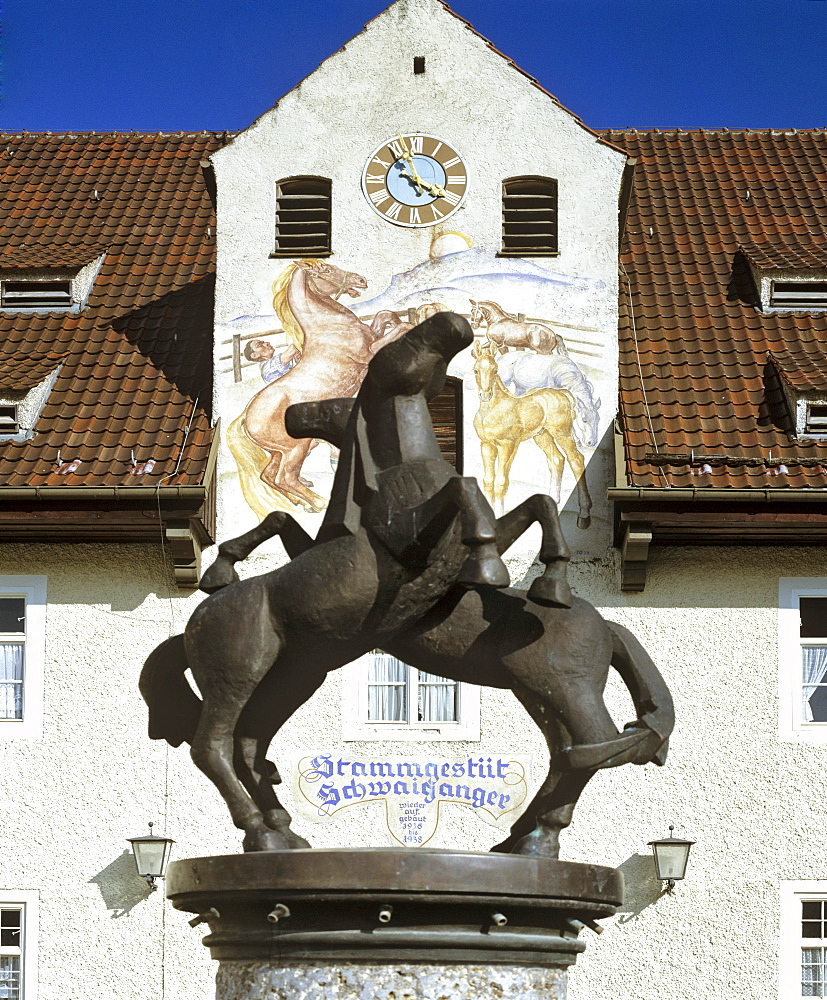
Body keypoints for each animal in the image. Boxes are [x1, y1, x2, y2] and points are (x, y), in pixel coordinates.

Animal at [468, 340, 592, 528]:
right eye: (476, 370)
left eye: (495, 370)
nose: (486, 395)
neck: (494, 410)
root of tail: (563, 393)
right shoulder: (486, 445)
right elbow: (488, 481)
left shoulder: (507, 446)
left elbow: (500, 483)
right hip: (542, 436)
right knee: (557, 459)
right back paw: (552, 502)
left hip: (562, 433)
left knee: (576, 460)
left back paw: (584, 514)